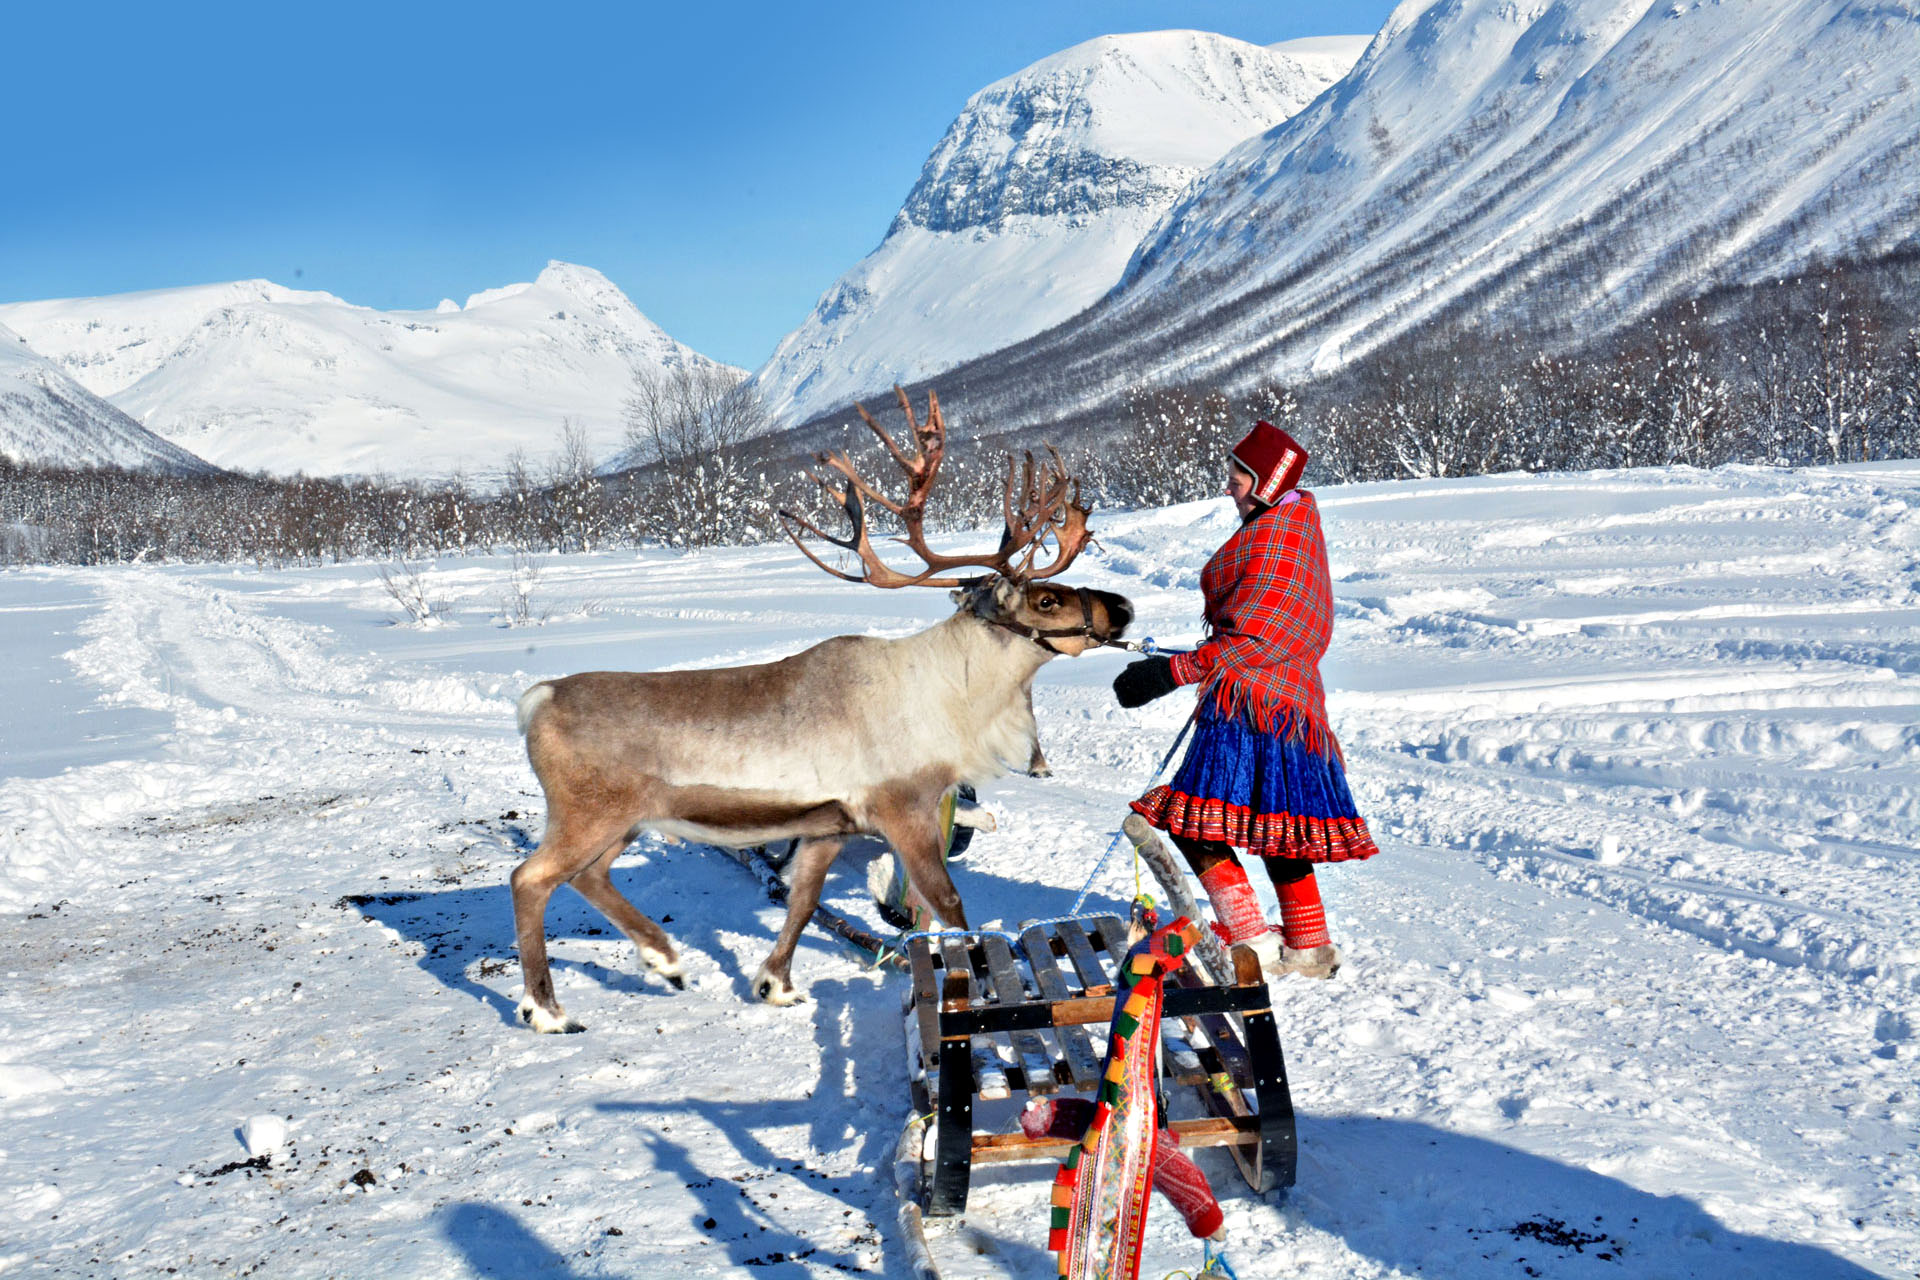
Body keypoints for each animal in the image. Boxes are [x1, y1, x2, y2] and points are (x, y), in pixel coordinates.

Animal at [510, 388, 1133, 1031]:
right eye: (1047, 599)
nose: (1123, 608)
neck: (956, 697)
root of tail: (539, 699)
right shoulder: (904, 809)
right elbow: (950, 906)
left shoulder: (829, 825)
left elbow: (805, 900)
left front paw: (776, 985)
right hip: (590, 815)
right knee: (530, 877)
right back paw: (547, 1008)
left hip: (625, 822)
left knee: (588, 875)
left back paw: (664, 959)